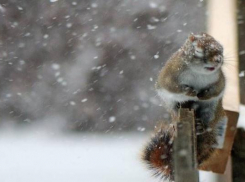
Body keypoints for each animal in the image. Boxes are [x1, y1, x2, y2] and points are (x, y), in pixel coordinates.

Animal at [143, 33, 227, 181]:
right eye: (198, 50)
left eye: (221, 50)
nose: (218, 60)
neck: (199, 73)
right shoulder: (170, 75)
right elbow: (173, 87)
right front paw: (189, 91)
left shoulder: (219, 78)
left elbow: (217, 89)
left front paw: (204, 94)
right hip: (172, 106)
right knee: (176, 112)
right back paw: (177, 122)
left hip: (211, 110)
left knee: (206, 122)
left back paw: (200, 126)